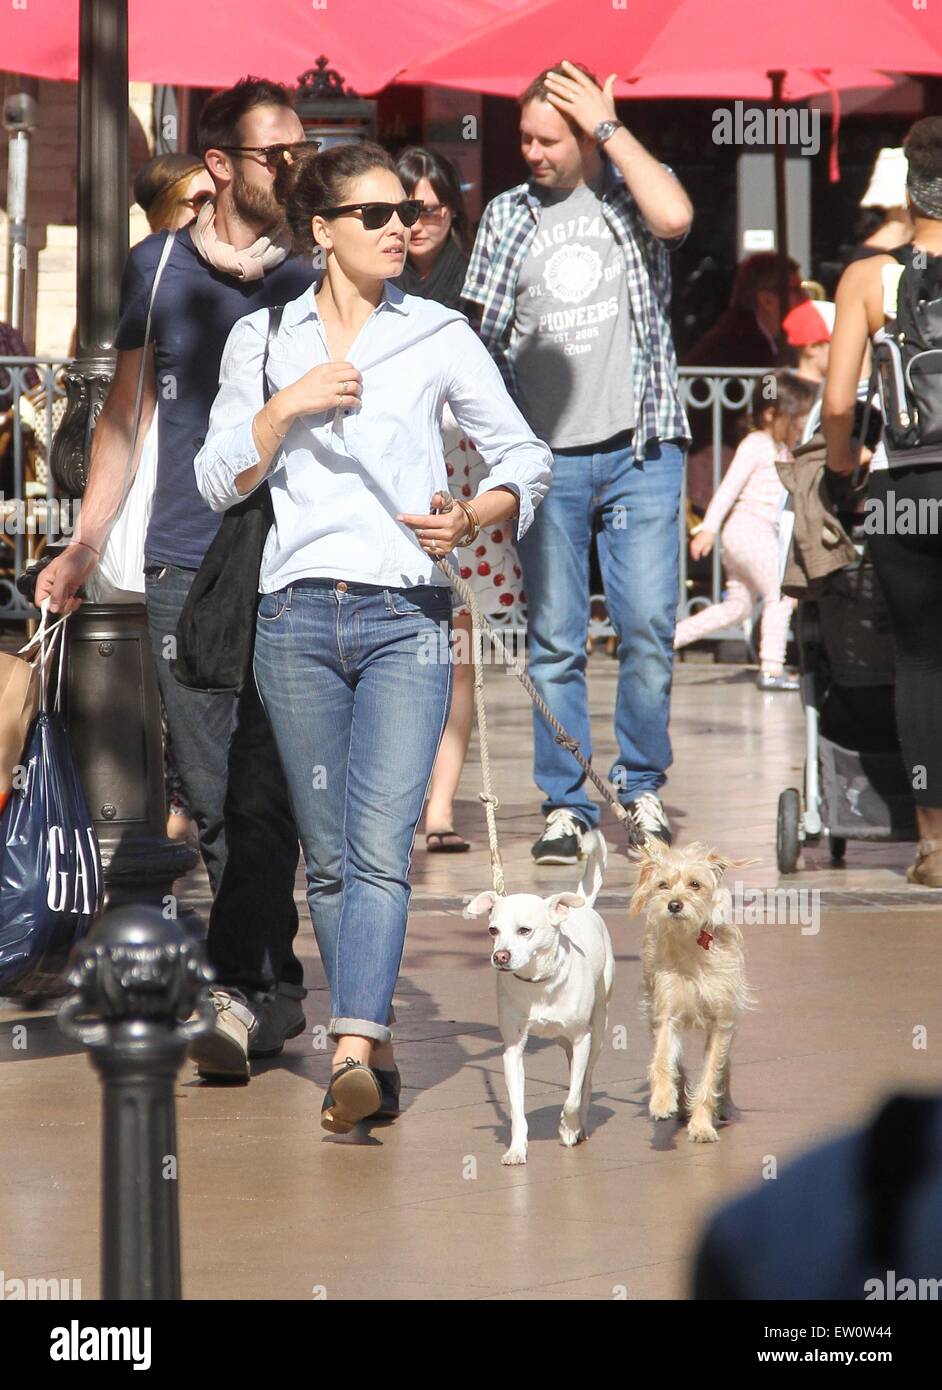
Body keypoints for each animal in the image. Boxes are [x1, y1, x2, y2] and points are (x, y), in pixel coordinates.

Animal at [466, 828, 616, 1167]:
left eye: (525, 930)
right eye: (493, 930)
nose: (500, 956)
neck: (538, 984)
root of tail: (584, 907)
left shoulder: (582, 1038)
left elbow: (573, 1097)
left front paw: (568, 1128)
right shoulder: (512, 1050)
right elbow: (516, 1109)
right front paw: (517, 1148)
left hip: (598, 1030)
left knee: (585, 1080)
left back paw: (580, 1124)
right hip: (562, 1040)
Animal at [630, 834, 755, 1139]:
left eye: (695, 884)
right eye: (662, 885)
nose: (674, 905)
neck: (690, 944)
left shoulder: (720, 1023)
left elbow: (711, 1074)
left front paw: (701, 1124)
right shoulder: (666, 1013)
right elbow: (663, 1060)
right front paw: (663, 1100)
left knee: (725, 1065)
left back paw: (724, 1105)